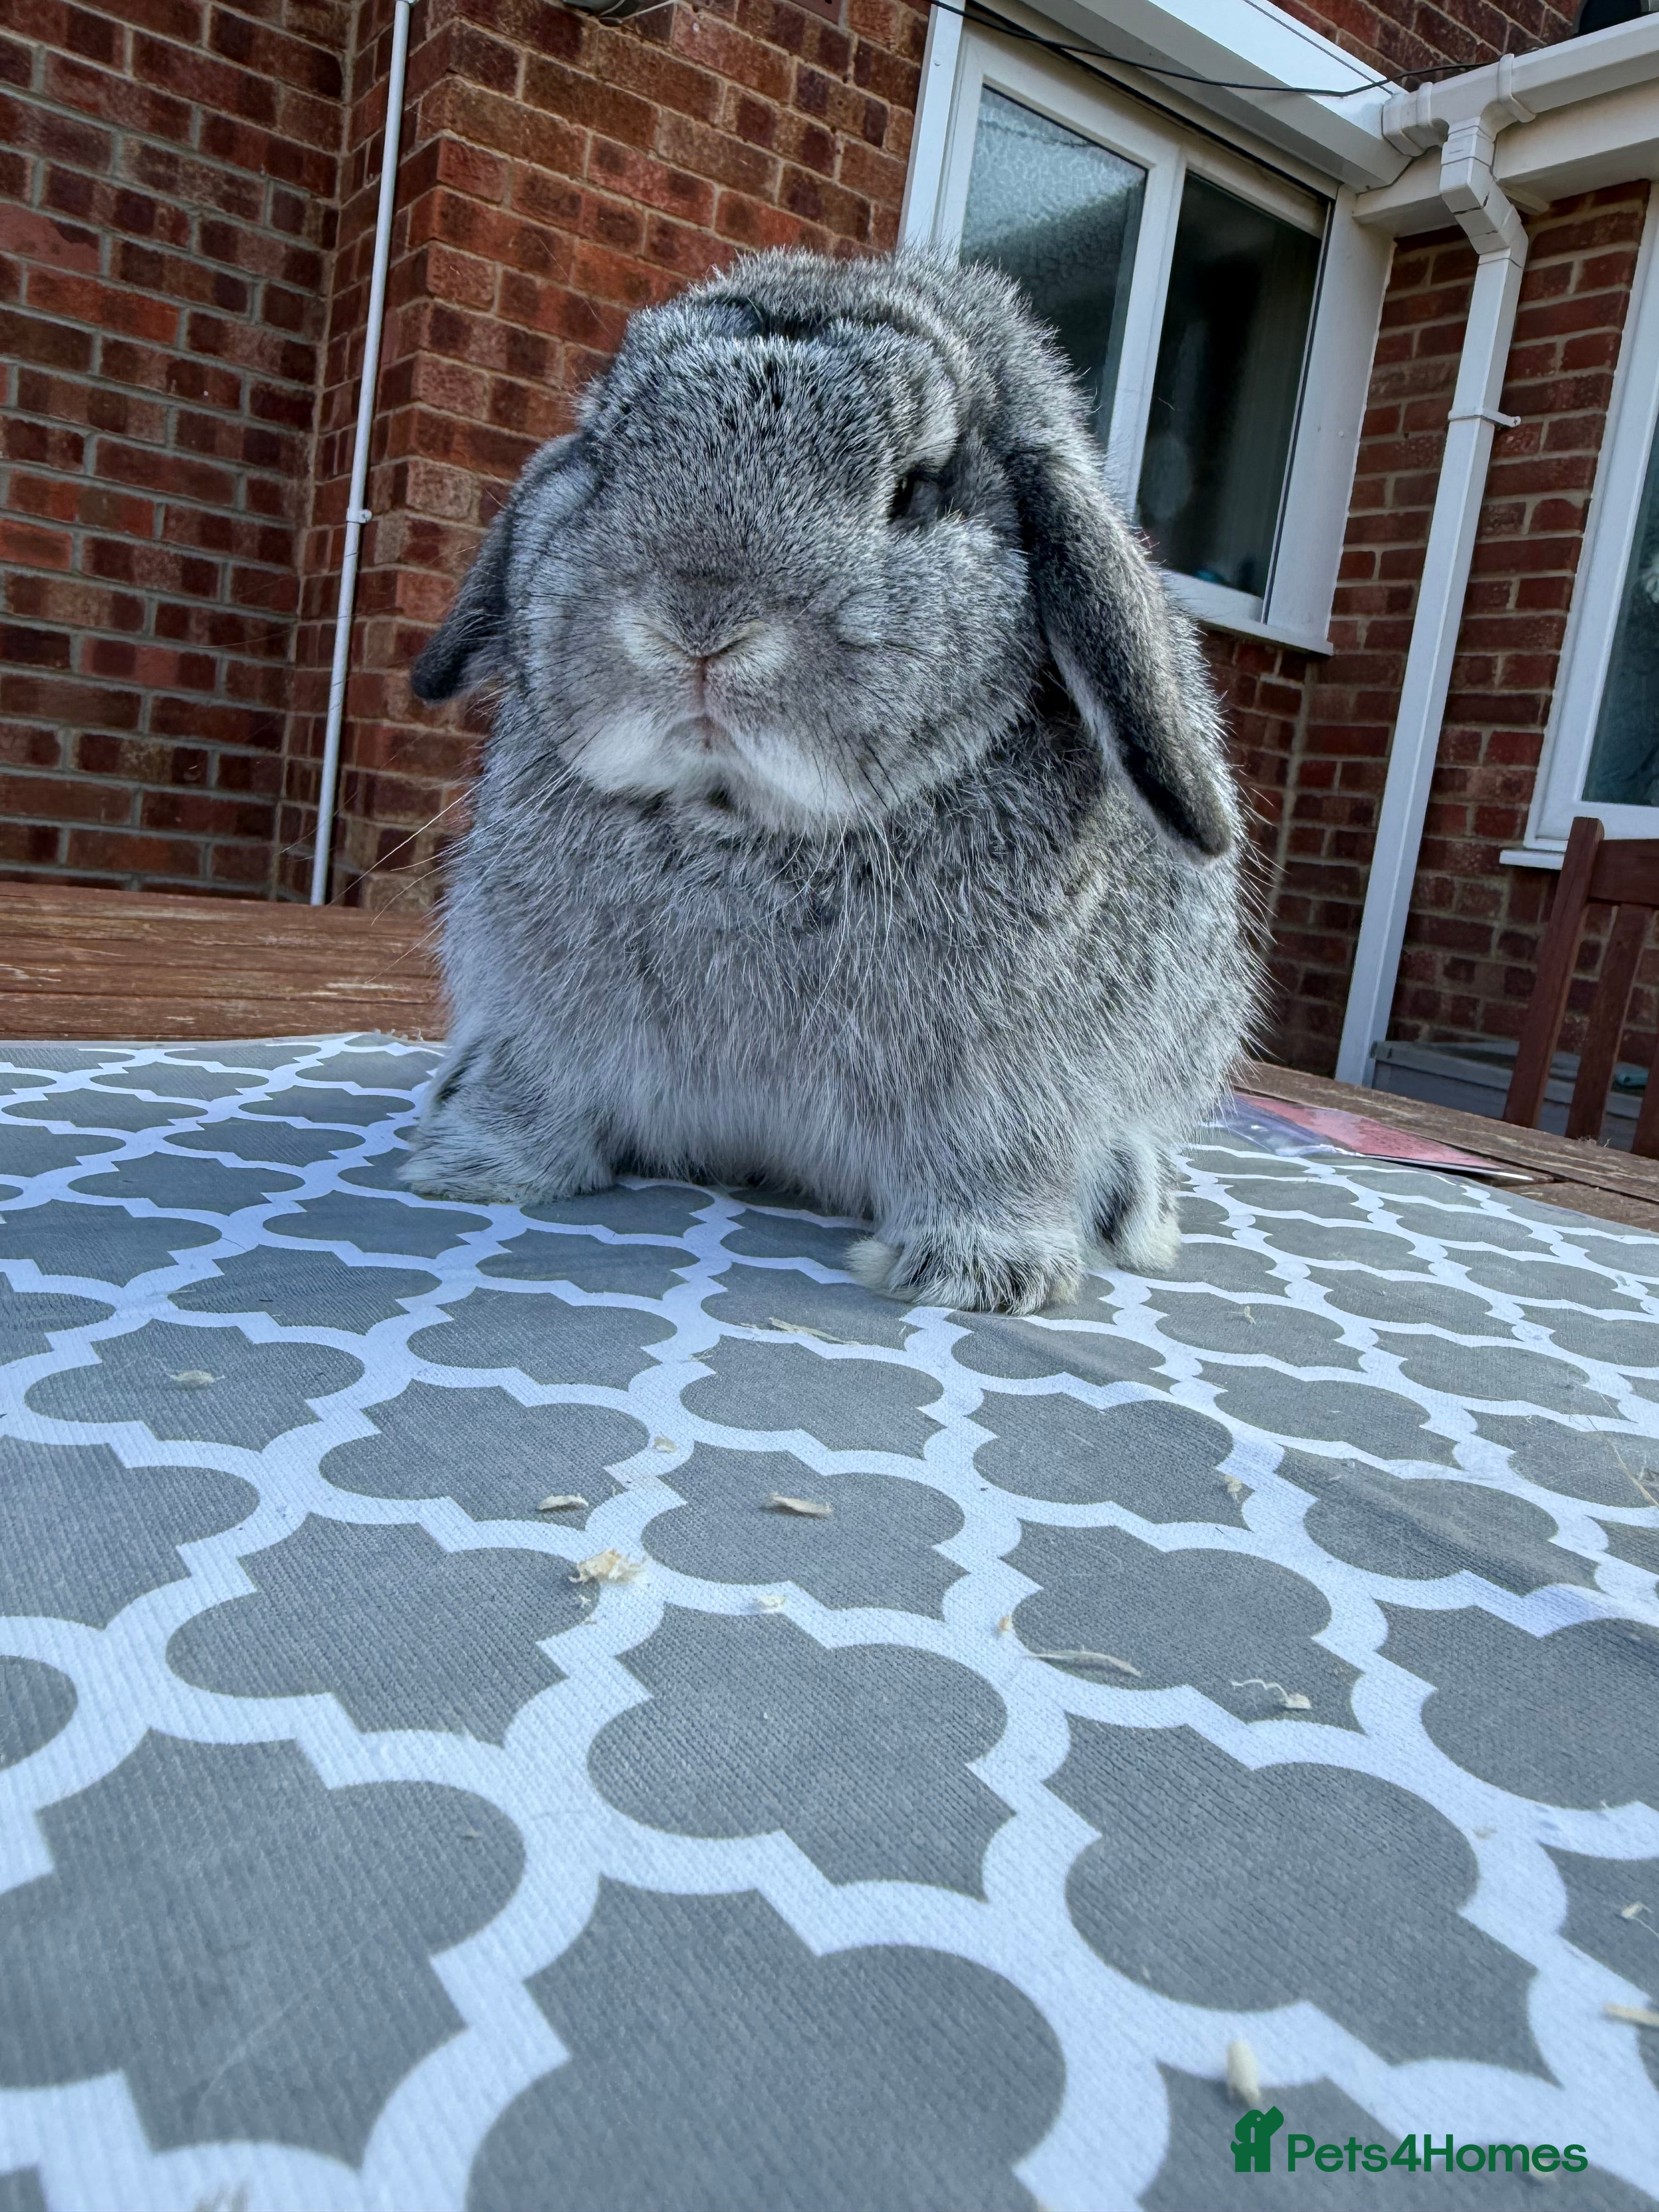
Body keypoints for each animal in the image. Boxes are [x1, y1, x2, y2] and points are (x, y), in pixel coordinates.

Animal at [404, 248, 1254, 1315]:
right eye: (605, 454)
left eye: (917, 490)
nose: (698, 622)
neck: (742, 824)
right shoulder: (537, 1020)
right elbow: (536, 1091)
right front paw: (472, 1163)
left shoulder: (1019, 1082)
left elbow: (998, 1161)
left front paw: (980, 1272)